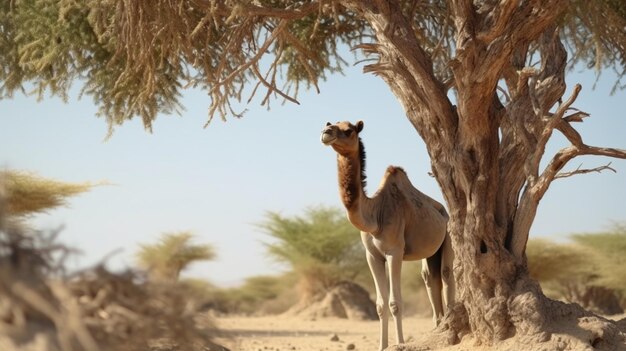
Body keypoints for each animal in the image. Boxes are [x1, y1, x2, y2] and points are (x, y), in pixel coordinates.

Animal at [320, 121, 450, 351]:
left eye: (348, 130)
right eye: (330, 123)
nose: (326, 133)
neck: (374, 216)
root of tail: (443, 211)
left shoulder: (394, 252)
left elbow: (395, 302)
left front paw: (399, 343)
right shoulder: (372, 256)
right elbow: (380, 305)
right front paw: (382, 346)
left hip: (448, 235)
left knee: (445, 274)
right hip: (430, 253)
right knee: (430, 278)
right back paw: (438, 324)